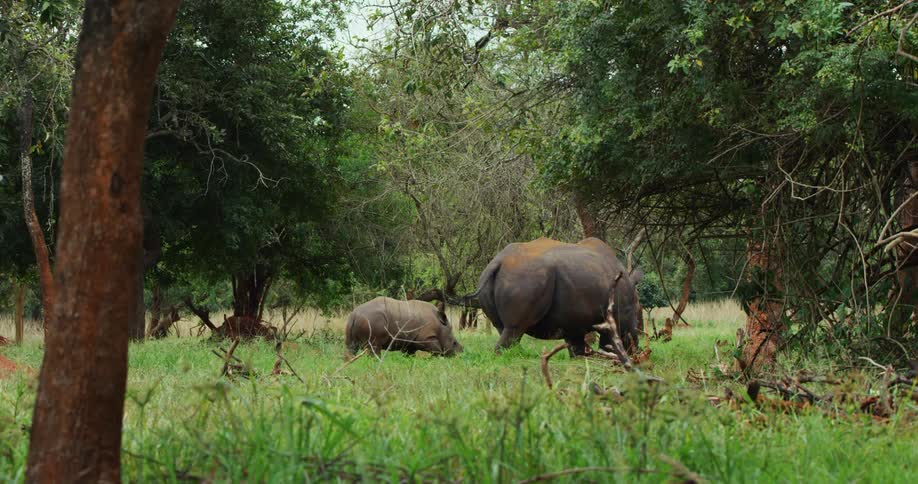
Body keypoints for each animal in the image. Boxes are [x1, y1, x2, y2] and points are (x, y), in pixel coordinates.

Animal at [475, 237, 643, 355]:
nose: (636, 352)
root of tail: (498, 262)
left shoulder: (573, 320)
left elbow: (577, 347)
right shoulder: (618, 315)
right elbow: (610, 342)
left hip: (501, 277)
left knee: (503, 328)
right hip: (526, 277)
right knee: (514, 329)